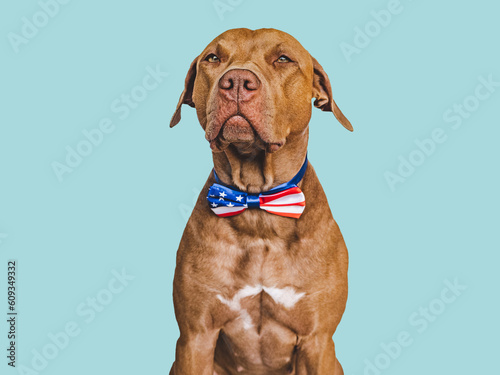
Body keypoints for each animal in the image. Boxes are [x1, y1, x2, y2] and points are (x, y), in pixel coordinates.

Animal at [168, 27, 352, 374]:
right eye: (213, 57)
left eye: (283, 59)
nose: (237, 80)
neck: (258, 206)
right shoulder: (196, 337)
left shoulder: (317, 340)